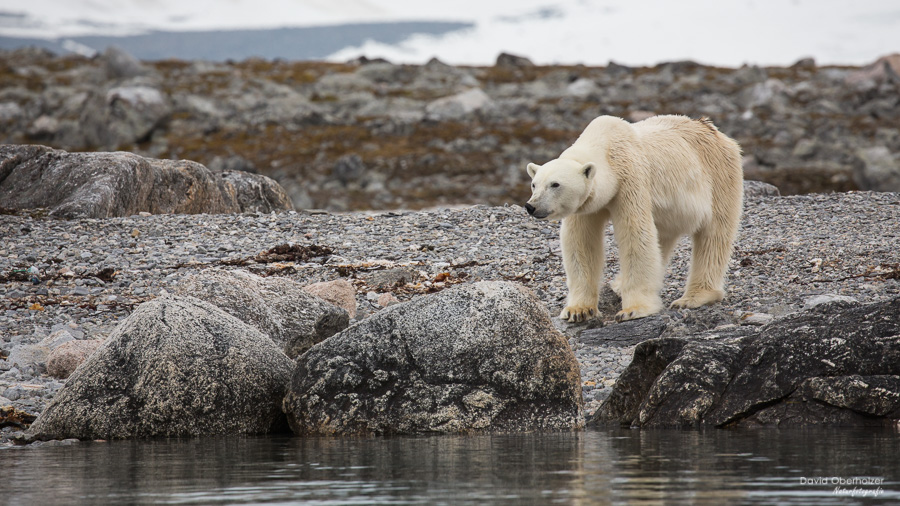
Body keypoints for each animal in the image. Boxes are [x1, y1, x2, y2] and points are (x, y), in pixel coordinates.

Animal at [524, 115, 740, 322]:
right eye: (534, 184)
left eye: (555, 184)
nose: (531, 206)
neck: (607, 149)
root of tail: (712, 129)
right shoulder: (585, 207)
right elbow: (581, 243)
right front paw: (578, 310)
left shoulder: (630, 180)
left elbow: (635, 236)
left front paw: (633, 310)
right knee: (663, 237)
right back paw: (619, 284)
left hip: (719, 176)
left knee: (713, 235)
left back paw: (693, 297)